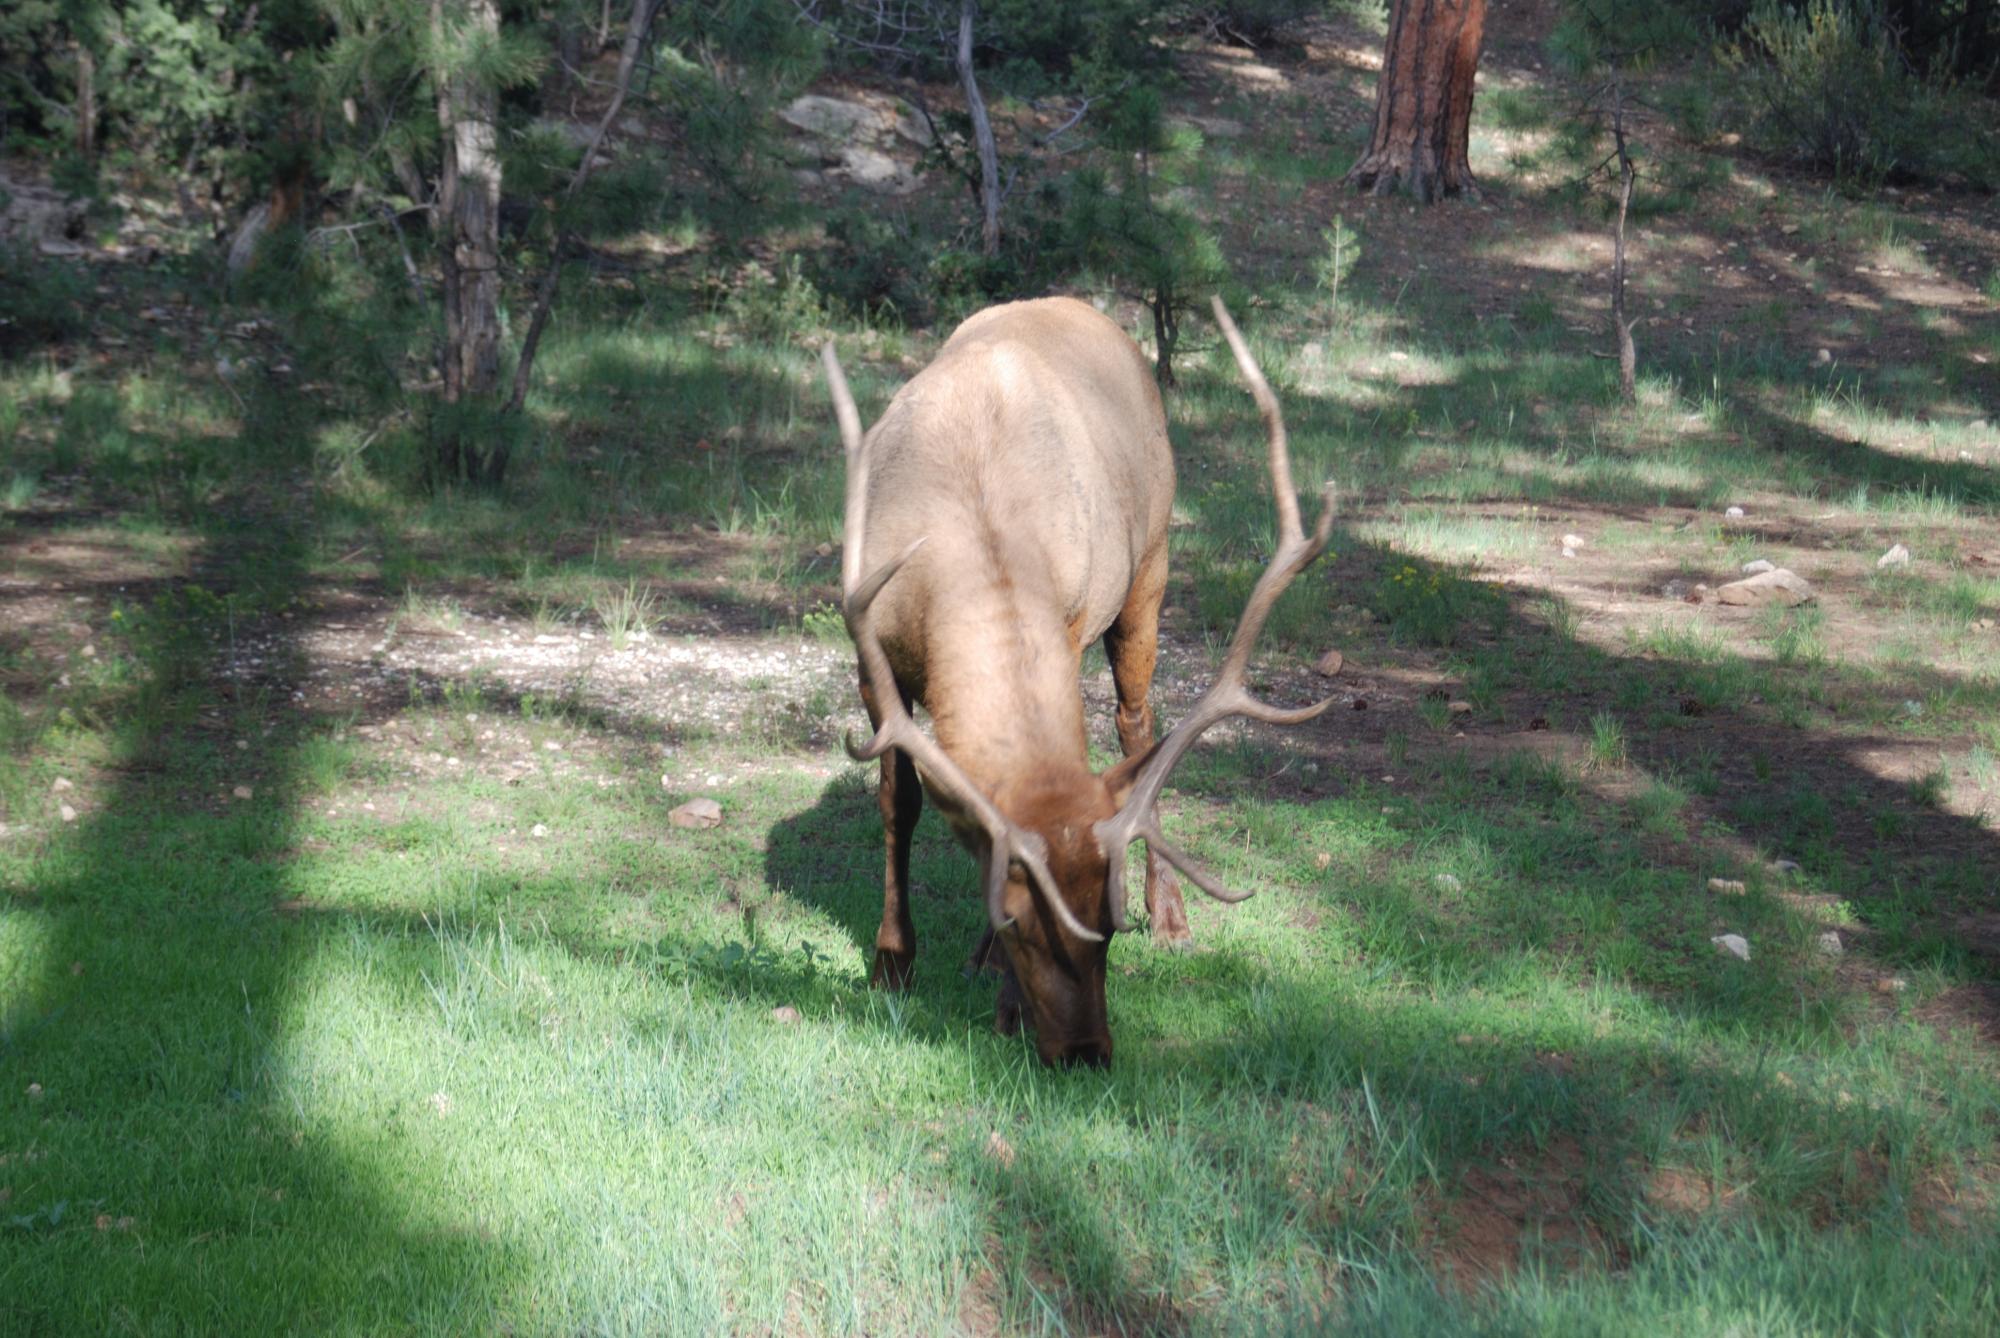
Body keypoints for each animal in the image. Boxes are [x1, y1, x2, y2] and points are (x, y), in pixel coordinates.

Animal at [822, 294, 1334, 1068]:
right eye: (1012, 921)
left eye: (1108, 924)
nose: (1087, 1050)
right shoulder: (872, 655)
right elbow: (898, 804)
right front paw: (891, 963)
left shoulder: (1068, 622)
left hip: (1150, 563)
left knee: (1136, 725)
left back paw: (1174, 917)